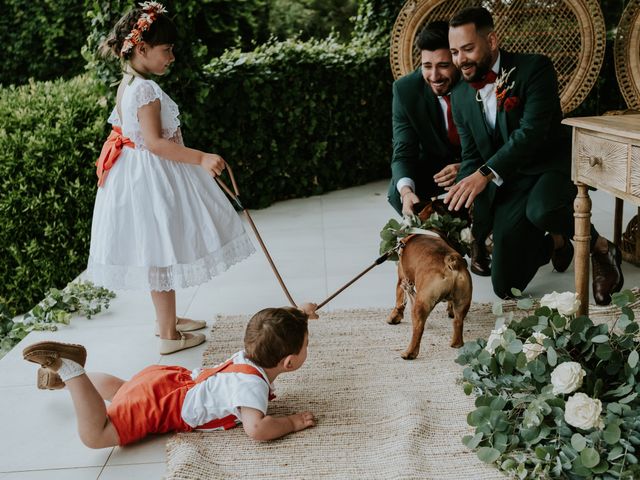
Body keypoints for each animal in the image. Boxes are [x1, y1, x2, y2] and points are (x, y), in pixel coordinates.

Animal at [388, 200, 472, 360]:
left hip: (421, 303)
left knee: (418, 327)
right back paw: (456, 344)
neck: (430, 226)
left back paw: (409, 353)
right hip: (463, 301)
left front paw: (394, 317)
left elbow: (399, 300)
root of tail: (450, 262)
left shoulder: (402, 279)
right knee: (458, 322)